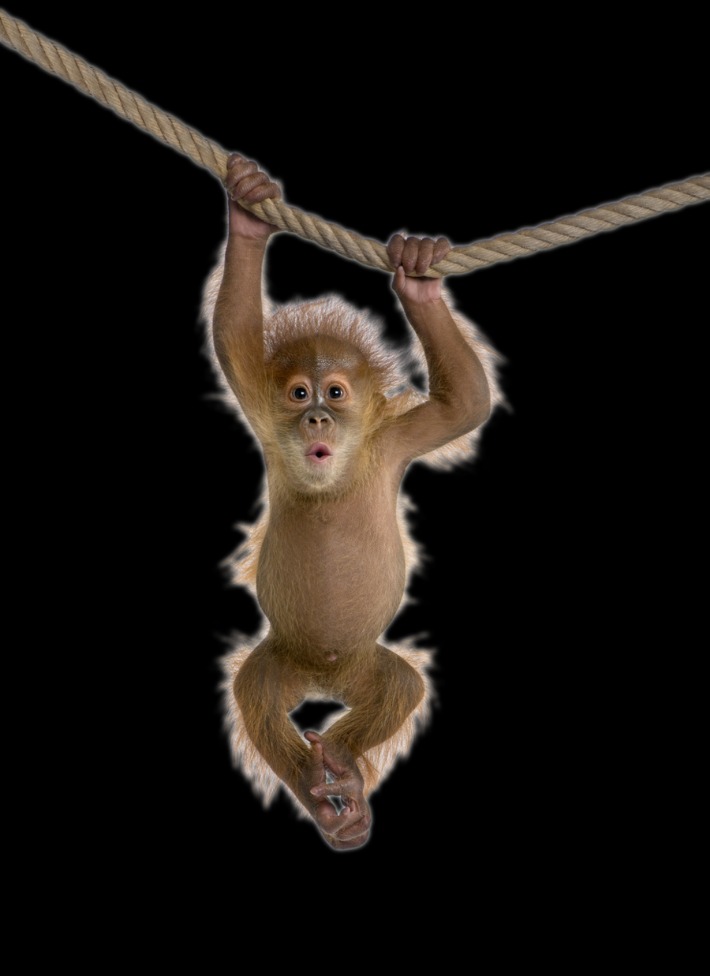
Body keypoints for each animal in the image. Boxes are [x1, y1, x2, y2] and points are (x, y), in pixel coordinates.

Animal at [201, 154, 504, 850]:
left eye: (335, 393)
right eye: (299, 393)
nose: (316, 417)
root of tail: (325, 677)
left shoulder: (394, 442)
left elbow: (465, 403)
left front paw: (418, 275)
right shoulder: (262, 412)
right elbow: (232, 336)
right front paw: (249, 213)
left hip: (363, 666)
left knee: (399, 686)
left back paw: (340, 767)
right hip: (284, 658)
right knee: (256, 695)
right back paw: (324, 796)